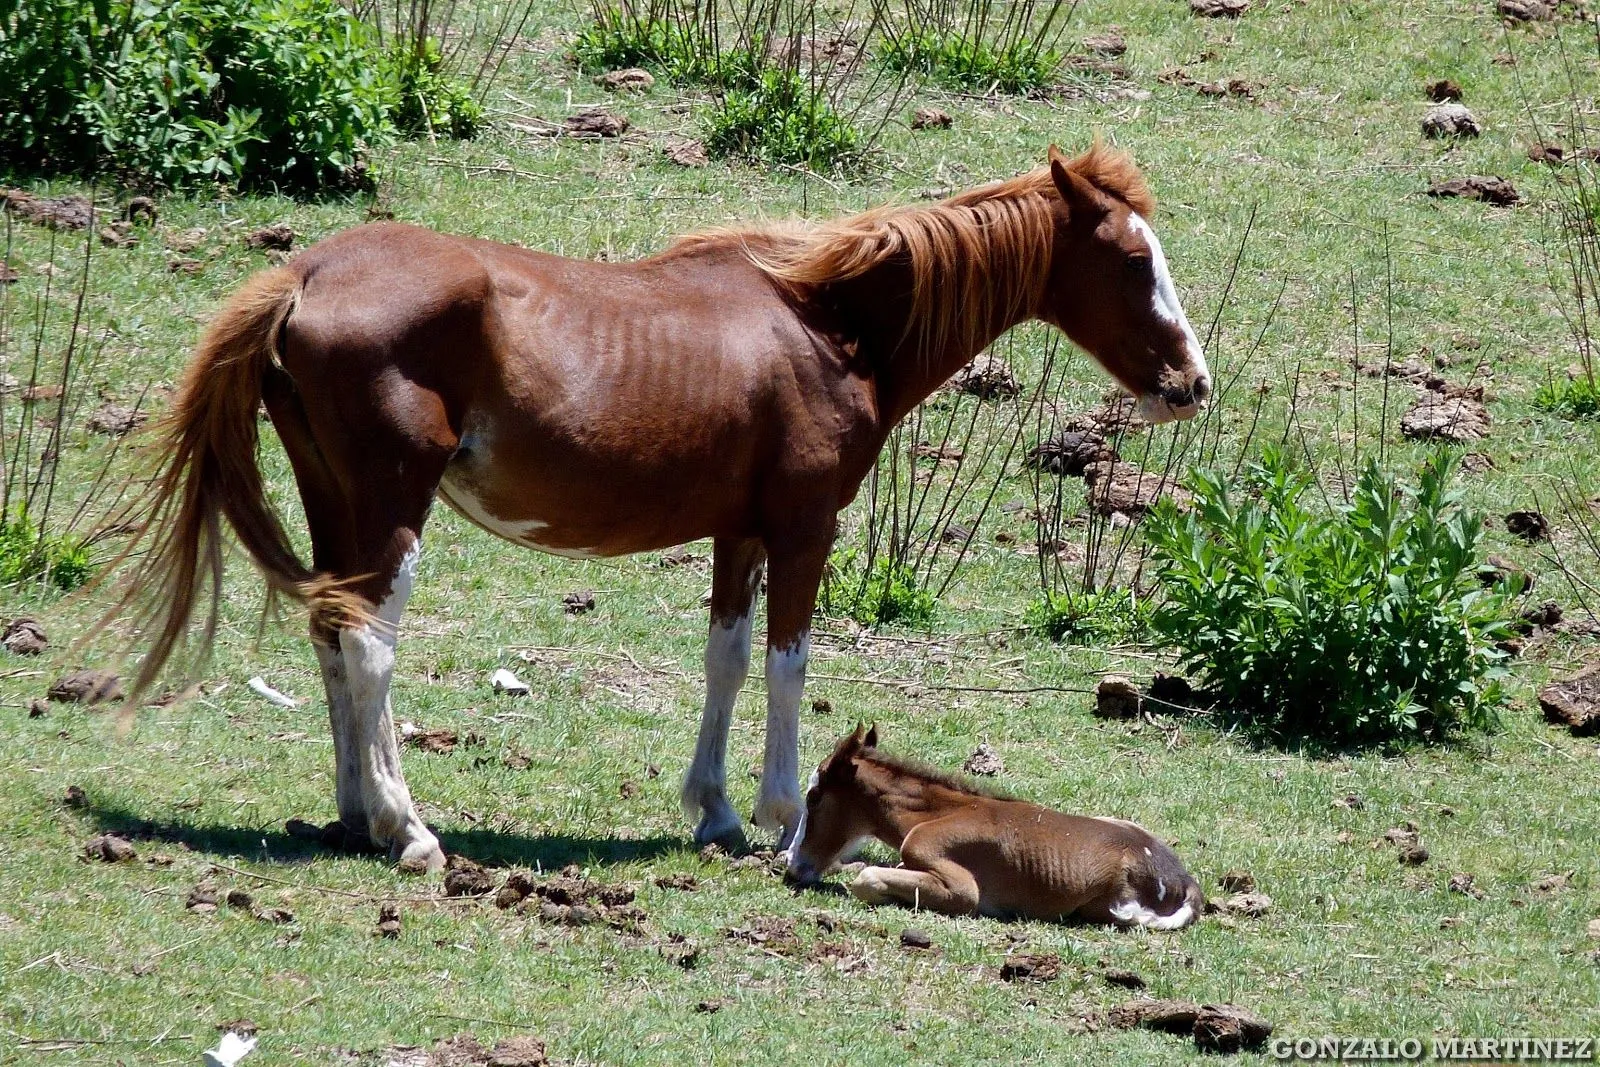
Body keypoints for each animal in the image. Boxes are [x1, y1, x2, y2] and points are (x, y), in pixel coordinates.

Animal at [118, 143, 1203, 876]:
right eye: (1132, 262)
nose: (1191, 382)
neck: (827, 328)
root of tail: (303, 272)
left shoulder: (739, 530)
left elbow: (726, 656)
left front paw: (714, 811)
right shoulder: (805, 528)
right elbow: (787, 663)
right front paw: (782, 814)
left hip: (331, 498)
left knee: (331, 633)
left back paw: (354, 813)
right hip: (391, 504)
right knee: (371, 642)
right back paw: (408, 828)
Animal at [787, 726, 1203, 927]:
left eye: (814, 796)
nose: (792, 863)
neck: (935, 814)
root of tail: (1185, 881)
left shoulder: (961, 887)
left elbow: (868, 878)